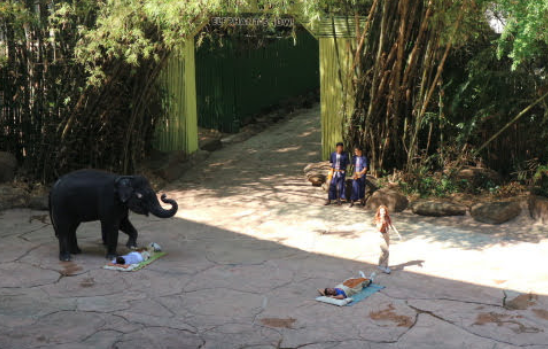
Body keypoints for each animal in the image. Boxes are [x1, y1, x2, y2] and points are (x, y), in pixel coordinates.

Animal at [49, 169, 178, 260]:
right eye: (140, 196)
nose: (164, 196)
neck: (124, 177)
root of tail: (54, 186)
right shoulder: (110, 202)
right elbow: (114, 225)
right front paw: (113, 257)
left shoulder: (121, 205)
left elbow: (123, 223)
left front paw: (131, 246)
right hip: (61, 206)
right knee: (63, 228)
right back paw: (66, 258)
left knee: (72, 227)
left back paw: (77, 252)